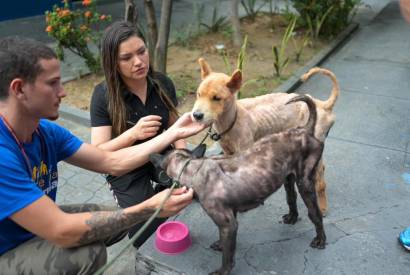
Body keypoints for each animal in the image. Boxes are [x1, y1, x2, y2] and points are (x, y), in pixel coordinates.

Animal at [149, 95, 326, 275]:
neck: (190, 167)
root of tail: (305, 129)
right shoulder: (230, 215)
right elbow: (223, 241)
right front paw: (220, 244)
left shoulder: (229, 224)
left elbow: (228, 256)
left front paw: (222, 270)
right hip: (288, 178)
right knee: (291, 198)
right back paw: (292, 217)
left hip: (305, 183)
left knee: (315, 213)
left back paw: (320, 239)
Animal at [191, 59, 338, 217]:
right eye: (198, 94)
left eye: (217, 98)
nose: (196, 115)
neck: (234, 119)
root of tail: (322, 104)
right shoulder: (228, 152)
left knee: (320, 181)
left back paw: (322, 206)